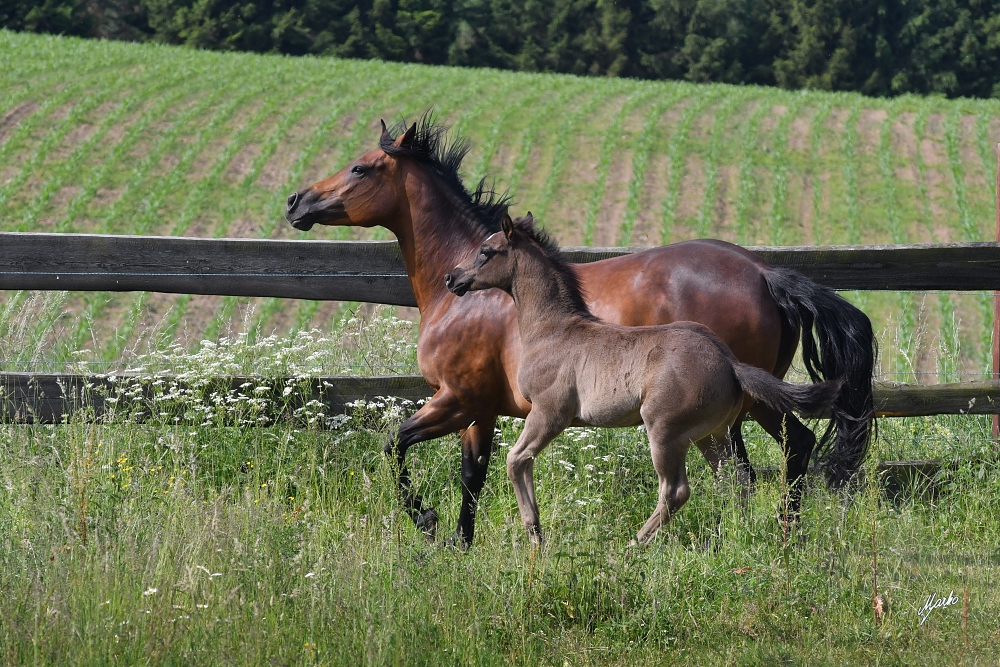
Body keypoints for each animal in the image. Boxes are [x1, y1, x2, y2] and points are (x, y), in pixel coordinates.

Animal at [446, 217, 844, 544]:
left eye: (486, 251)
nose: (452, 278)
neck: (553, 330)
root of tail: (730, 363)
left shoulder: (549, 412)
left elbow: (516, 459)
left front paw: (534, 532)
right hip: (711, 434)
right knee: (735, 479)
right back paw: (731, 537)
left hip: (665, 431)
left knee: (677, 490)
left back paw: (635, 544)